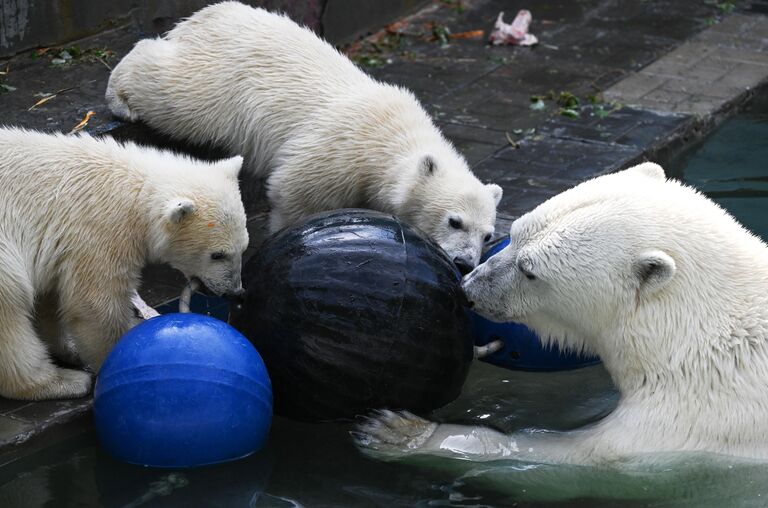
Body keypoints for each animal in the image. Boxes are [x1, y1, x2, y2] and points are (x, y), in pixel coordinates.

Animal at [0, 128, 246, 400]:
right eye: (218, 254)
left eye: (244, 247)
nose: (235, 291)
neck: (136, 190)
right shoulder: (99, 232)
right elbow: (95, 305)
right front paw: (114, 357)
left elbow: (52, 295)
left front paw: (70, 347)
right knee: (11, 302)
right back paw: (60, 382)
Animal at [106, 0, 504, 274]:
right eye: (455, 221)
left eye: (487, 236)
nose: (465, 262)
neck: (393, 139)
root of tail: (208, 15)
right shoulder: (341, 152)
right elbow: (296, 191)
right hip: (218, 83)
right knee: (175, 93)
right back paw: (120, 98)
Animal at [356, 164, 768, 464]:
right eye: (512, 235)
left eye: (529, 271)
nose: (469, 289)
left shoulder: (693, 418)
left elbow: (572, 454)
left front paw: (403, 432)